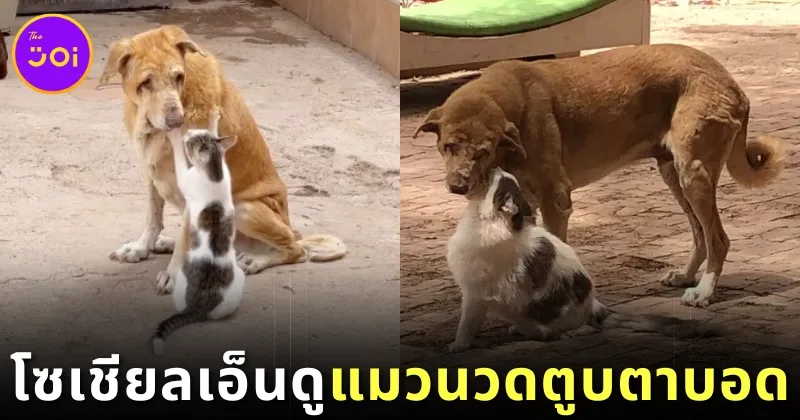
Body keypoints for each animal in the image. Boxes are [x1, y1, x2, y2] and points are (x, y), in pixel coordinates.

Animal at [98, 25, 346, 296]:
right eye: (146, 83)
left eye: (178, 77)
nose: (176, 121)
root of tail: (294, 230)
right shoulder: (151, 173)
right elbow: (153, 218)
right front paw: (141, 247)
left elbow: (182, 240)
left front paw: (173, 275)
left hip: (244, 208)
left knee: (296, 250)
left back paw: (256, 260)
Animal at [151, 106, 247, 356]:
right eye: (200, 133)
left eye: (193, 140)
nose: (188, 131)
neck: (214, 172)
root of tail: (200, 304)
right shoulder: (225, 166)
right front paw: (214, 118)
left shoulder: (186, 177)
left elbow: (179, 158)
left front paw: (175, 137)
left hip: (181, 286)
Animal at [416, 44, 784, 308]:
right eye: (448, 146)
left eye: (483, 151)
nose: (458, 185)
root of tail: (733, 84)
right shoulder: (527, 206)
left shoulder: (555, 201)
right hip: (674, 175)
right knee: (700, 235)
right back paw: (687, 276)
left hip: (694, 174)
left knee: (718, 238)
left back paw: (704, 292)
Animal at [446, 166, 720, 352]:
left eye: (500, 181)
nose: (496, 167)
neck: (484, 222)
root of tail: (595, 306)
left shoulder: (475, 296)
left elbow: (465, 328)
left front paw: (456, 347)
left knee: (559, 331)